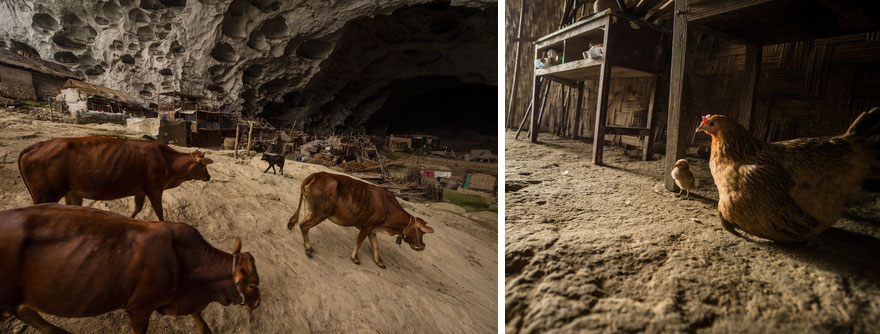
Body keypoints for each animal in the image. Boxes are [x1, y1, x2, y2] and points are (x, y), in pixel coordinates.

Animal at [0, 204, 262, 334]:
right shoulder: (139, 308)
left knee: (24, 310)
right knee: (21, 310)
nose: (258, 303)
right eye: (252, 285)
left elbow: (201, 321)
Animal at [18, 136, 214, 222]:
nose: (209, 176)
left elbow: (137, 208)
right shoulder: (154, 189)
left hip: (71, 193)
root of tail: (36, 146)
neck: (168, 161)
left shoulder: (140, 190)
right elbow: (159, 212)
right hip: (46, 193)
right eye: (203, 165)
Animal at [288, 172, 434, 268]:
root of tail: (315, 175)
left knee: (302, 223)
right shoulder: (367, 226)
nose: (423, 246)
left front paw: (379, 261)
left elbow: (376, 245)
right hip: (321, 213)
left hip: (311, 210)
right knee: (304, 226)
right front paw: (355, 258)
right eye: (421, 232)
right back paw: (308, 249)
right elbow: (359, 241)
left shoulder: (373, 229)